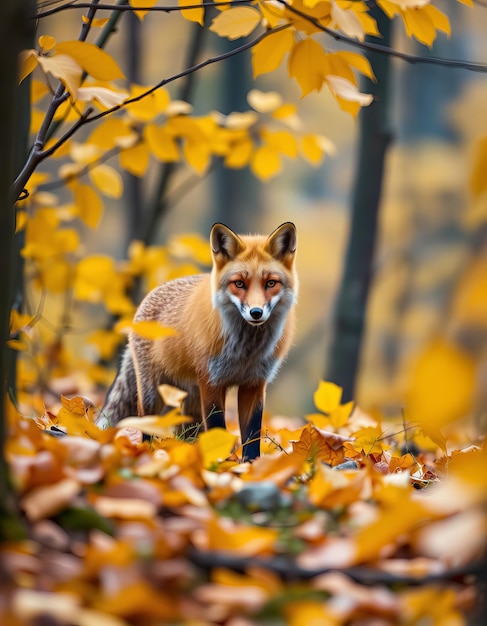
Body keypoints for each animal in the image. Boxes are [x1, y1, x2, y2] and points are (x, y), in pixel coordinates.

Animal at [102, 222, 298, 456]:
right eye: (239, 284)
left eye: (270, 283)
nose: (256, 313)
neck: (246, 351)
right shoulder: (211, 382)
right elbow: (217, 428)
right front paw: (221, 461)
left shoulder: (255, 384)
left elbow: (251, 437)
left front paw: (250, 464)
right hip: (153, 394)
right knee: (147, 424)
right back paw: (147, 453)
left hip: (191, 400)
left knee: (187, 433)